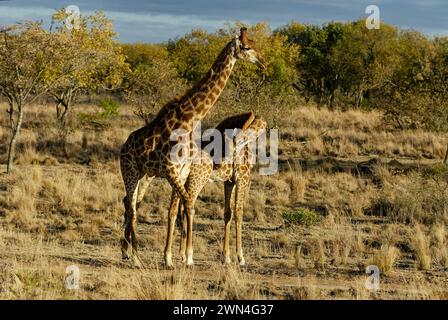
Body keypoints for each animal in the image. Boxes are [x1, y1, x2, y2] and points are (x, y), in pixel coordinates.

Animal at [166, 111, 268, 266]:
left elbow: (227, 213)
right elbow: (239, 212)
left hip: (180, 180)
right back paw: (189, 257)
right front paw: (240, 257)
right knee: (188, 208)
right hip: (197, 179)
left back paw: (169, 257)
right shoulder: (242, 178)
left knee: (173, 210)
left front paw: (226, 257)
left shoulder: (229, 181)